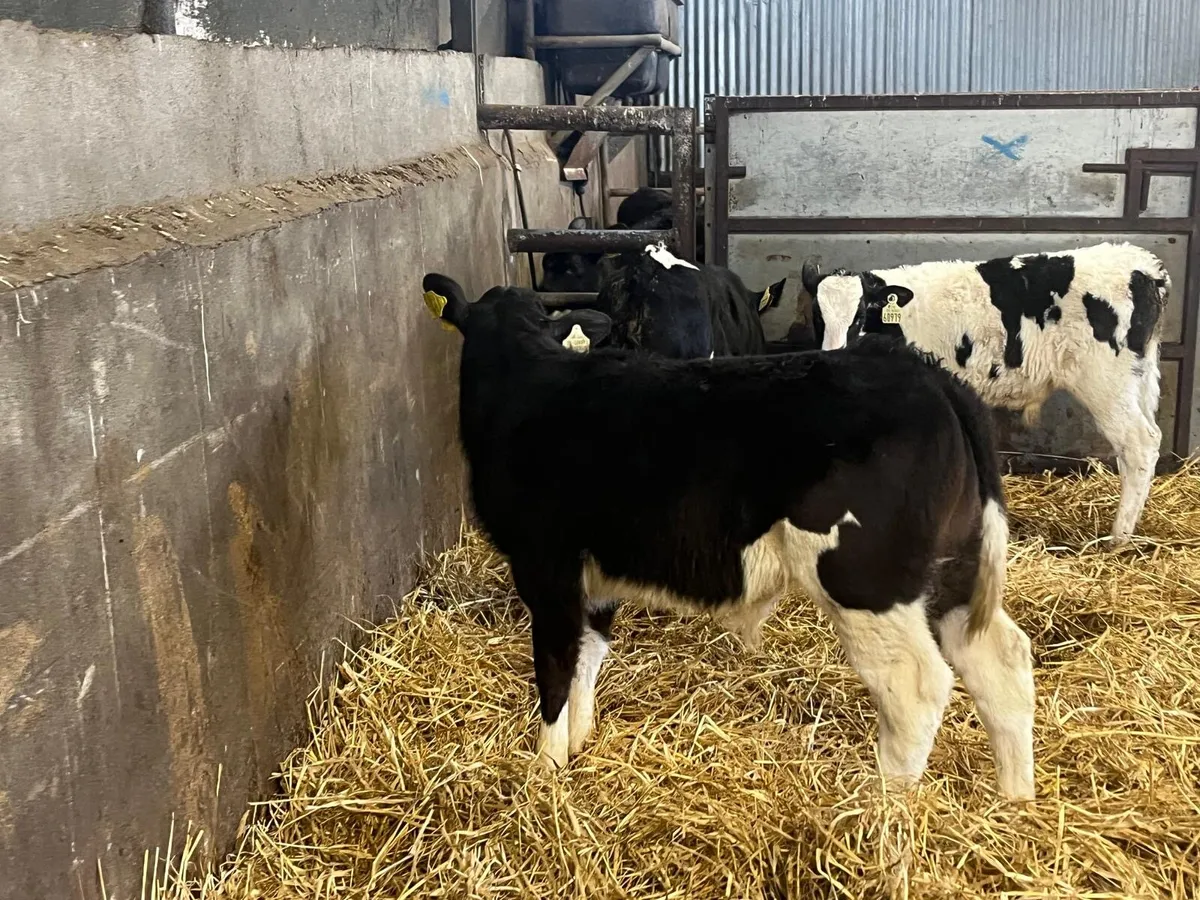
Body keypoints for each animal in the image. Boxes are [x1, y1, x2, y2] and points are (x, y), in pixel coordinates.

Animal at [420, 272, 1036, 800]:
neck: (523, 386)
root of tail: (930, 377)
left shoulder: (544, 563)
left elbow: (554, 668)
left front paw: (545, 772)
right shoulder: (596, 572)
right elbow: (587, 659)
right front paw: (578, 745)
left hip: (865, 579)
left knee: (914, 687)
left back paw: (881, 814)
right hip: (954, 564)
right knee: (1001, 660)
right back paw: (1014, 802)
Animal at [803, 242, 1171, 545]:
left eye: (860, 314)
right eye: (817, 316)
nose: (833, 355)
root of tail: (1143, 265)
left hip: (1106, 384)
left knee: (1139, 443)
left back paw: (1118, 538)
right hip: (1138, 380)